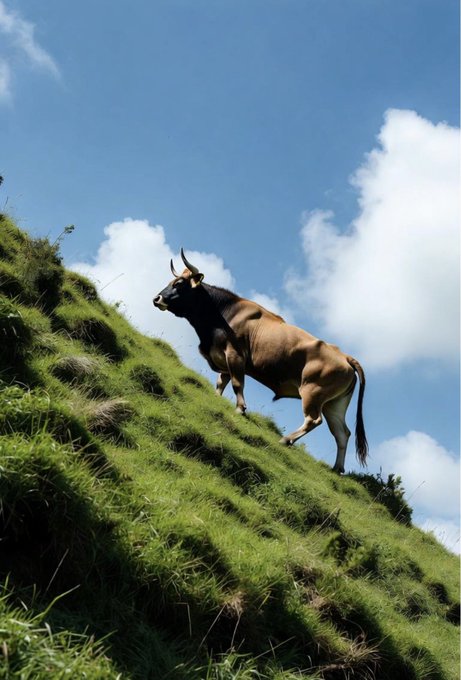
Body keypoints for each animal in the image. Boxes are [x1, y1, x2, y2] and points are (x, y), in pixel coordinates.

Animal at [153, 249, 368, 473]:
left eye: (179, 283)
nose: (156, 298)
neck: (220, 316)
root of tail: (344, 356)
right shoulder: (223, 360)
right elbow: (221, 383)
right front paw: (216, 398)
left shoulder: (235, 355)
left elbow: (237, 383)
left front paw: (240, 409)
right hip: (334, 404)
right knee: (342, 433)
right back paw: (337, 468)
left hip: (313, 392)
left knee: (314, 420)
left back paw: (286, 440)